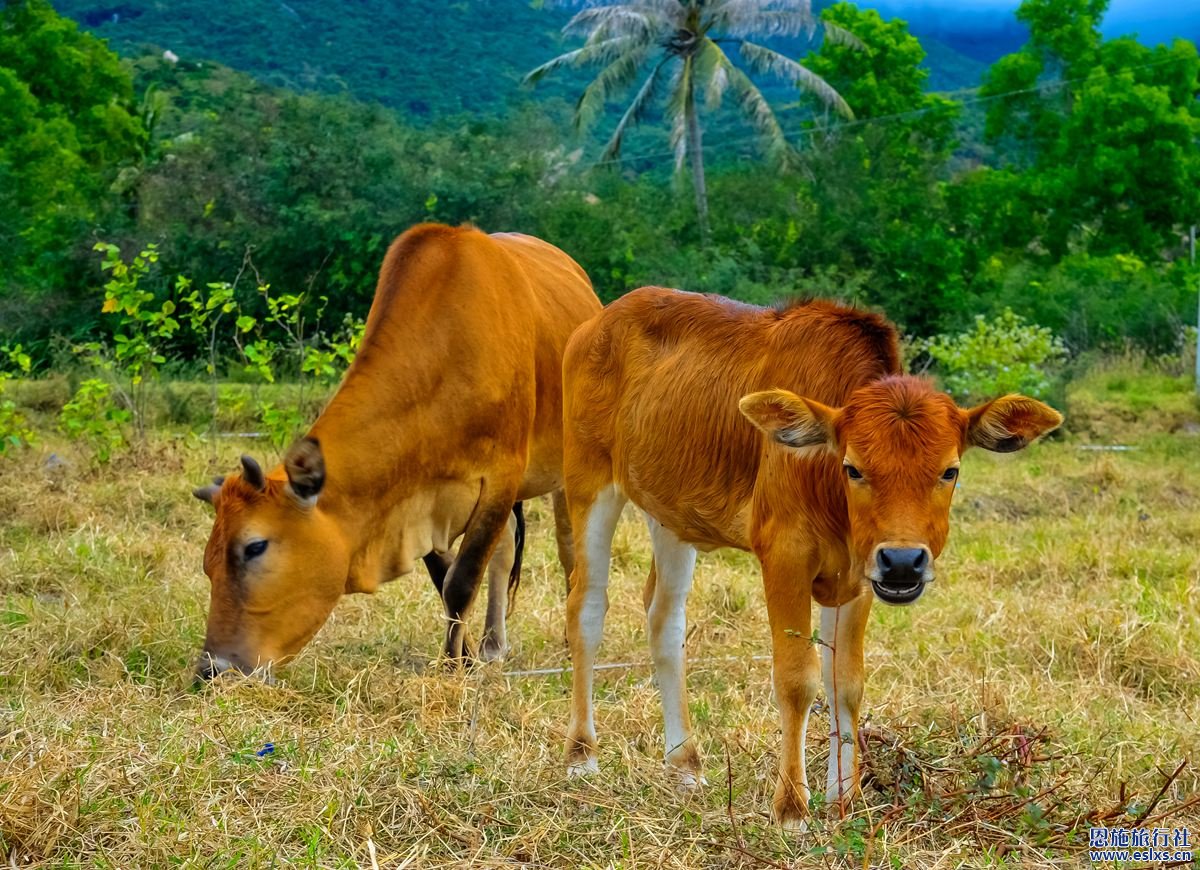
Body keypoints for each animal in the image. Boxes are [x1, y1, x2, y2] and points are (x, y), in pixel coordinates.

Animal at [192, 222, 600, 672]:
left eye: (255, 546)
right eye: (208, 562)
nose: (213, 667)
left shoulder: (500, 479)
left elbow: (461, 580)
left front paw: (452, 666)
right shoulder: (419, 497)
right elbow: (445, 578)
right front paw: (465, 658)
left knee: (570, 550)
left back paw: (572, 640)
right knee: (507, 549)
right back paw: (494, 645)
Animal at [561, 286, 1060, 830]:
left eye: (949, 470)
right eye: (853, 468)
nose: (904, 561)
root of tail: (598, 322)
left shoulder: (860, 576)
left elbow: (847, 683)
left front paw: (845, 800)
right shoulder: (784, 557)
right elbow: (797, 679)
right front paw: (791, 809)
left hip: (669, 513)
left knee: (665, 620)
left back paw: (685, 763)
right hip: (589, 483)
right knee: (586, 607)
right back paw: (582, 754)